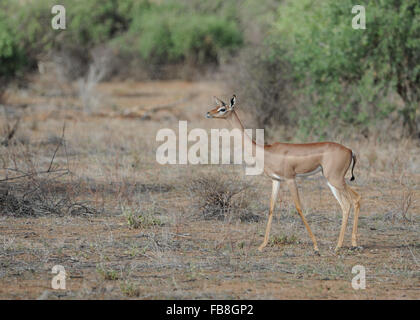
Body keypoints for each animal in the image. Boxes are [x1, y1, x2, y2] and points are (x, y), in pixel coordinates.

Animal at [207, 94, 360, 254]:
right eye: (217, 106)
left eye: (223, 109)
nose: (208, 113)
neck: (266, 151)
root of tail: (350, 150)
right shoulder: (276, 180)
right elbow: (271, 208)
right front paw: (262, 245)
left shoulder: (290, 179)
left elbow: (298, 207)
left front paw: (316, 245)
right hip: (331, 182)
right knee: (345, 205)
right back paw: (340, 245)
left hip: (336, 179)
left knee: (355, 199)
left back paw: (350, 244)